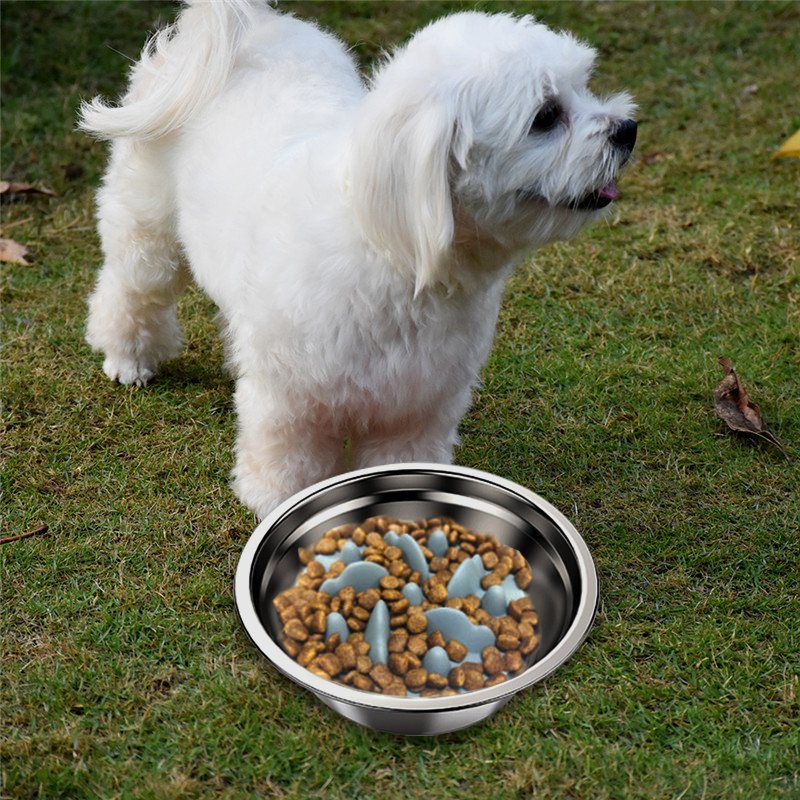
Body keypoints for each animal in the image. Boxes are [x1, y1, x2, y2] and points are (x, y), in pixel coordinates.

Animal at [80, 0, 636, 519]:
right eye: (545, 117)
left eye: (583, 88)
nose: (627, 129)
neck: (392, 254)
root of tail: (252, 25)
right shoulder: (289, 402)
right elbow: (285, 465)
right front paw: (273, 504)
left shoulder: (416, 409)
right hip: (147, 229)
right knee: (132, 290)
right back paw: (129, 358)